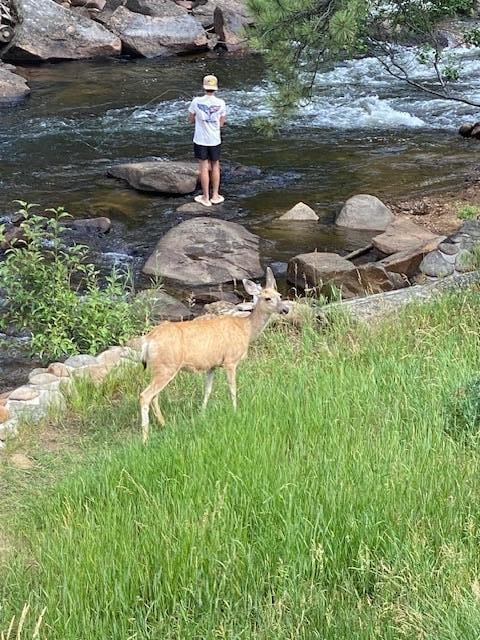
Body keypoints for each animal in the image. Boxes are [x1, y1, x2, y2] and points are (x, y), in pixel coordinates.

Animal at [139, 267, 290, 442]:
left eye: (280, 295)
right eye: (267, 298)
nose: (285, 309)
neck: (246, 329)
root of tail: (148, 340)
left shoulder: (212, 365)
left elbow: (207, 389)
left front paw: (202, 414)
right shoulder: (230, 360)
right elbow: (232, 387)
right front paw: (235, 411)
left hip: (159, 368)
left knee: (154, 396)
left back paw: (163, 424)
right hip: (167, 366)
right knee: (145, 395)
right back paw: (145, 437)